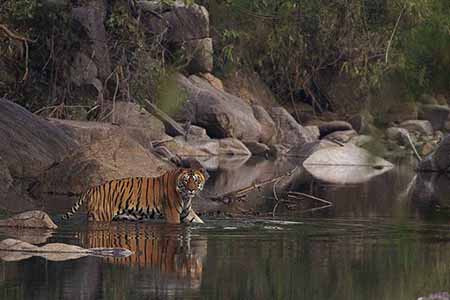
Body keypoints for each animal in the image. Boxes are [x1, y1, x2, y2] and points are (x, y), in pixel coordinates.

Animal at [61, 168, 206, 224]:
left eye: (196, 180)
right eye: (186, 181)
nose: (191, 190)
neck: (185, 197)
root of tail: (92, 188)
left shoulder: (187, 213)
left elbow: (199, 221)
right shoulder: (173, 214)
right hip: (100, 216)